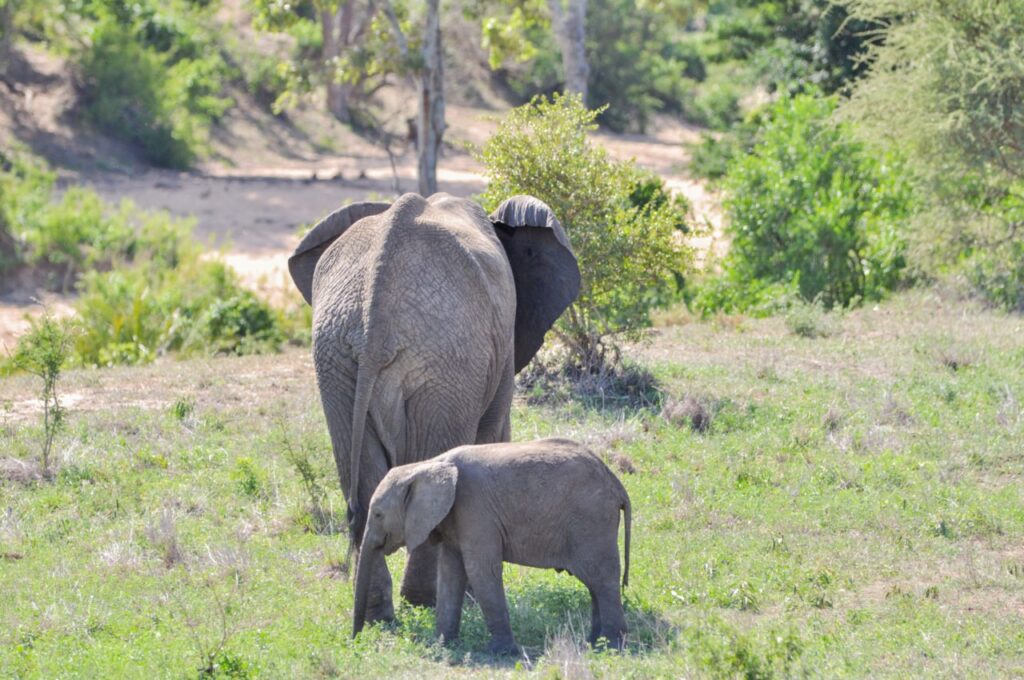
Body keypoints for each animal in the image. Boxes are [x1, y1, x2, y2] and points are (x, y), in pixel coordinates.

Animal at [287, 192, 580, 623]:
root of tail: (375, 315)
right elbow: (491, 434)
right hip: (447, 362)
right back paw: (424, 601)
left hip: (338, 357)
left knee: (362, 481)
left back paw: (378, 614)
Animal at [351, 438, 632, 653]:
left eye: (378, 514)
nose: (355, 640)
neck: (428, 465)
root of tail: (616, 484)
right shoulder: (455, 517)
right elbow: (450, 574)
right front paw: (441, 645)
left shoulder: (474, 509)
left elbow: (481, 571)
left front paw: (500, 652)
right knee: (594, 583)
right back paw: (593, 643)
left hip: (592, 521)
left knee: (601, 578)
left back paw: (611, 647)